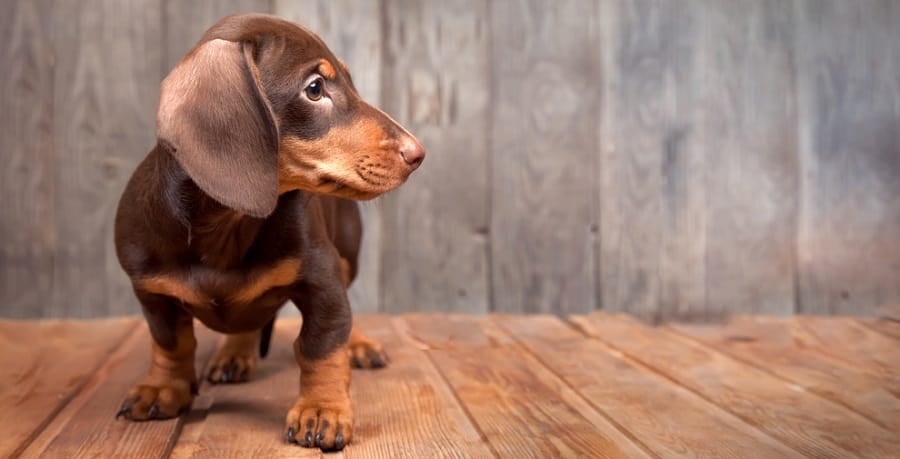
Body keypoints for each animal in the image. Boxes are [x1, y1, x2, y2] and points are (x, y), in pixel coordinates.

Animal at [113, 12, 426, 452]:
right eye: (315, 89)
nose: (418, 154)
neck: (225, 225)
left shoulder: (323, 283)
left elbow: (322, 346)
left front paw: (322, 410)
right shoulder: (151, 291)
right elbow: (171, 343)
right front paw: (163, 388)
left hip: (348, 252)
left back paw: (360, 345)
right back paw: (235, 353)